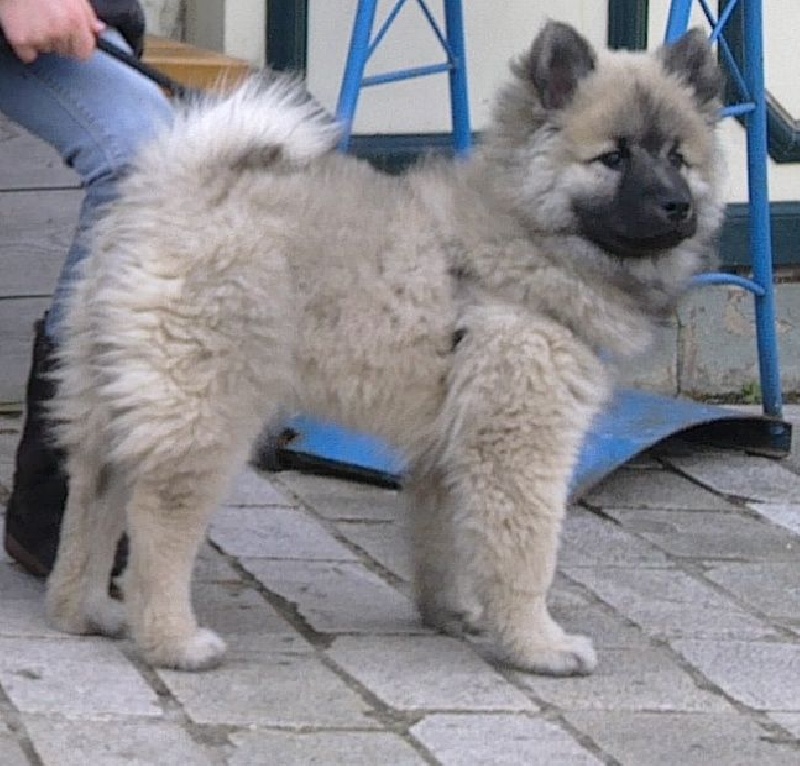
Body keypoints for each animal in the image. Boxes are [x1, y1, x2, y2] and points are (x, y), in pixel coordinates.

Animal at [45, 21, 725, 674]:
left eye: (678, 158)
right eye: (613, 157)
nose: (677, 205)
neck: (531, 234)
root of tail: (178, 190)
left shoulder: (449, 446)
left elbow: (443, 539)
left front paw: (454, 612)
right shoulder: (519, 440)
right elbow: (525, 556)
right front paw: (539, 645)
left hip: (109, 391)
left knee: (92, 496)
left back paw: (85, 612)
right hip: (207, 408)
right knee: (158, 519)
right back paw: (173, 641)